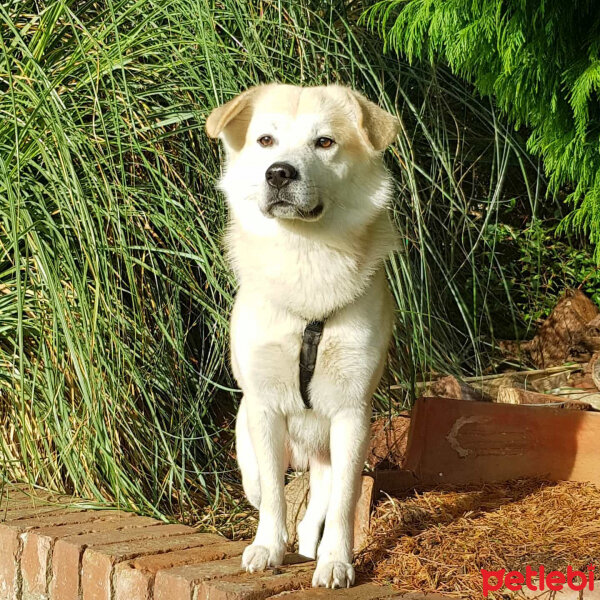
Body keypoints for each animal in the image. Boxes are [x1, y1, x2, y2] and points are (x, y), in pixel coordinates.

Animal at [206, 84, 398, 592]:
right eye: (265, 140)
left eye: (324, 142)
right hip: (247, 439)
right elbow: (274, 493)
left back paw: (315, 547)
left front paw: (336, 562)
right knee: (263, 487)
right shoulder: (265, 408)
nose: (278, 173)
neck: (305, 254)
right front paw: (268, 549)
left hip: (331, 449)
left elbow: (345, 502)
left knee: (321, 505)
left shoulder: (353, 412)